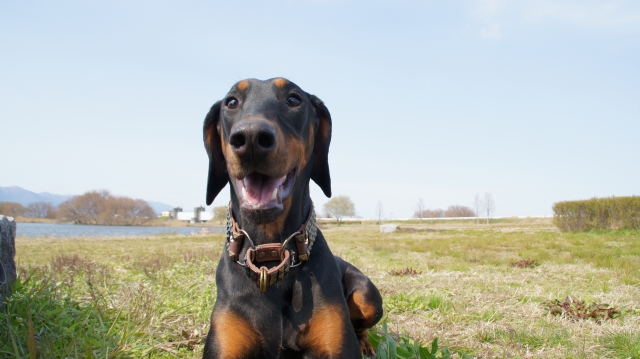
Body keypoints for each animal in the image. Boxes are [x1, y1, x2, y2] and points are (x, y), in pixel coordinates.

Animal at [202, 77, 382, 358]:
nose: (251, 137)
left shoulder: (338, 348)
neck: (270, 256)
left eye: (294, 100)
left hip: (367, 295)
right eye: (231, 102)